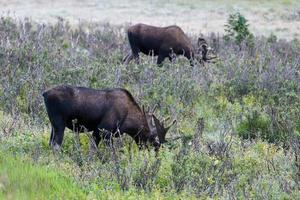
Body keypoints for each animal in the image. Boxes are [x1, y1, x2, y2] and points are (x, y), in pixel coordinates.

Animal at [43, 85, 175, 151]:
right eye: (152, 139)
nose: (156, 149)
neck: (127, 123)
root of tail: (44, 93)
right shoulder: (104, 130)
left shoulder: (99, 132)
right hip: (59, 123)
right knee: (56, 145)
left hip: (53, 125)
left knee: (50, 143)